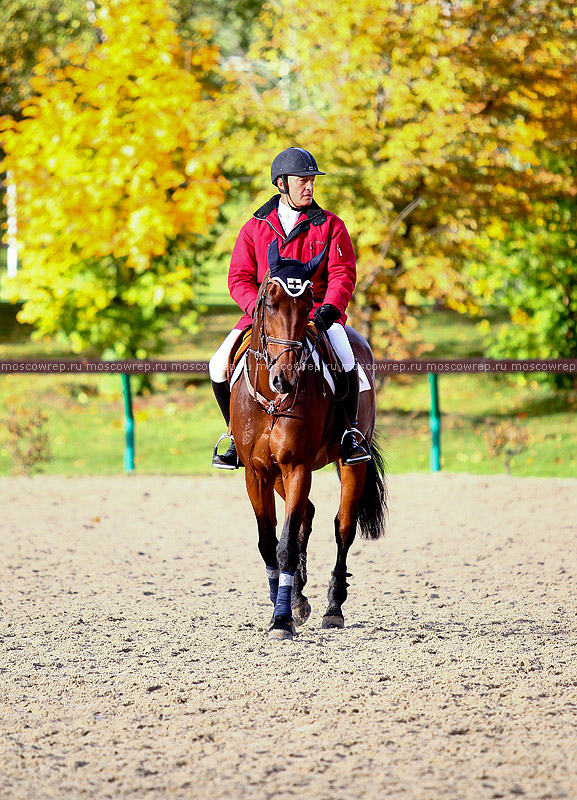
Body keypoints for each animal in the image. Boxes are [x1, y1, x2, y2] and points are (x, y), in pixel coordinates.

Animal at [230, 241, 388, 640]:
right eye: (269, 303)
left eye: (308, 305)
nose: (284, 378)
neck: (273, 398)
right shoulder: (257, 473)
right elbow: (269, 543)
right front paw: (283, 603)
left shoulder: (297, 466)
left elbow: (285, 544)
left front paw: (281, 620)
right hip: (279, 476)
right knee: (307, 516)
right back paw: (299, 596)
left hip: (349, 464)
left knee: (342, 527)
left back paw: (334, 607)